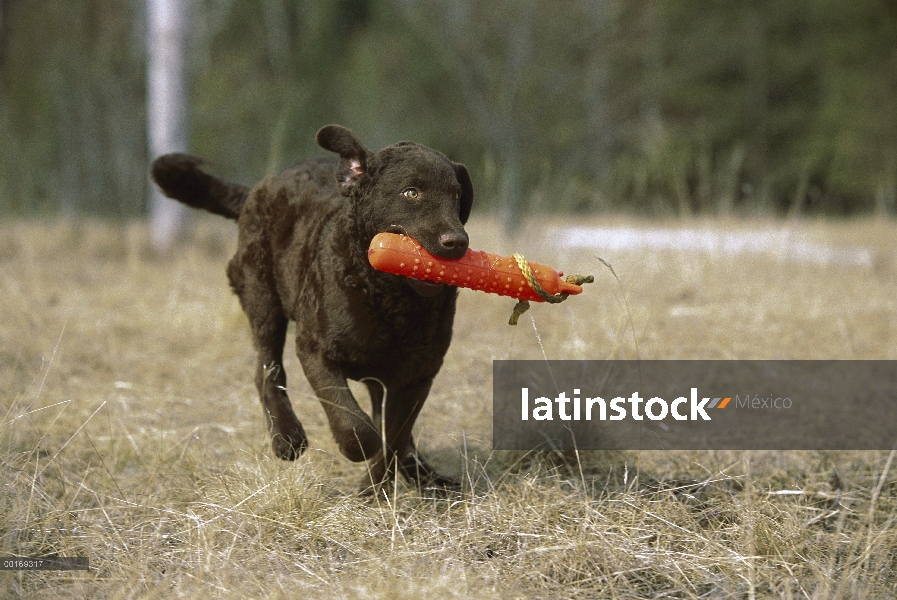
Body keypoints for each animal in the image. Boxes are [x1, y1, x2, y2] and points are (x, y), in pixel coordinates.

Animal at [150, 125, 472, 488]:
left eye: (457, 196)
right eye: (411, 193)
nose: (457, 243)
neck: (389, 295)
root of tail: (258, 189)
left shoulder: (419, 374)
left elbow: (395, 438)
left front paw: (374, 489)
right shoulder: (315, 349)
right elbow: (353, 421)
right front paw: (360, 453)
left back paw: (425, 476)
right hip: (262, 299)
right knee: (267, 371)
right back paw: (287, 439)